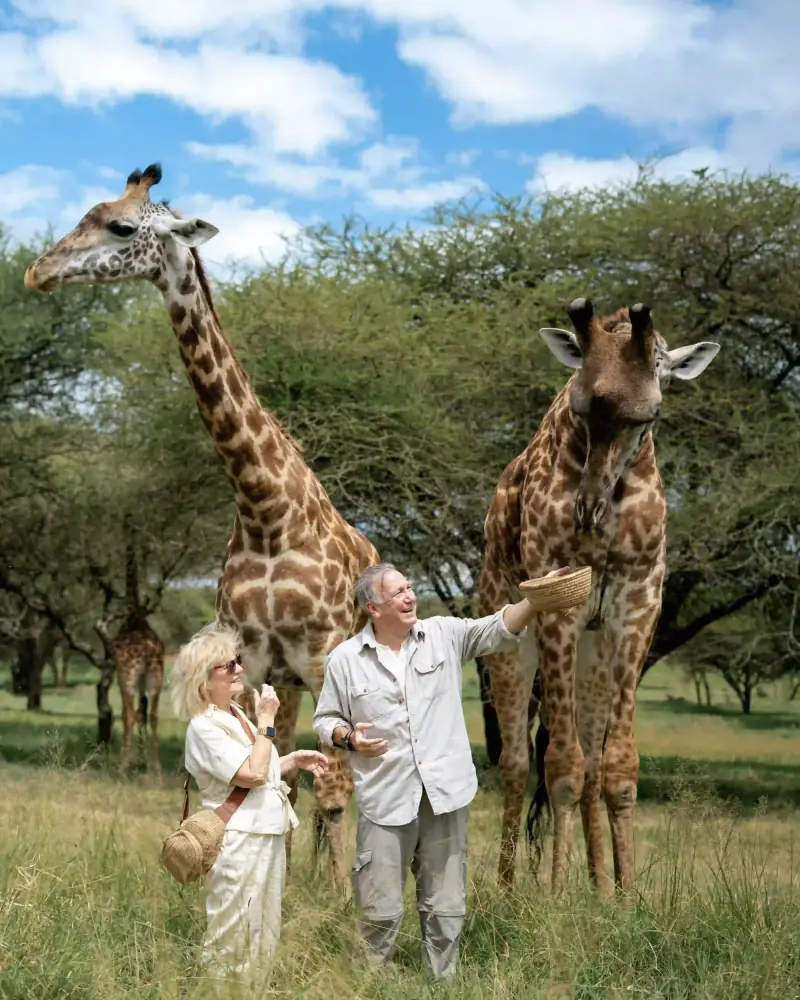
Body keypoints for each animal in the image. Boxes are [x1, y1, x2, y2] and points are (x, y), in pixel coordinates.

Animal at [24, 163, 379, 884]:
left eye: (121, 226)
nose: (37, 272)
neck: (266, 509)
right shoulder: (255, 658)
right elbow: (268, 773)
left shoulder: (323, 655)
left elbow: (333, 788)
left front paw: (341, 903)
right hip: (287, 682)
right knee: (297, 769)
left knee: (343, 781)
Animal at [478, 297, 719, 895]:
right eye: (583, 410)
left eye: (648, 417)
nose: (588, 510)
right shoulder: (557, 606)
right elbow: (560, 764)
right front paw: (554, 898)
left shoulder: (639, 603)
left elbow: (617, 766)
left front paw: (625, 896)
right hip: (509, 642)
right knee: (517, 762)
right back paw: (512, 890)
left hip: (593, 652)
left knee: (587, 759)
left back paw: (598, 887)